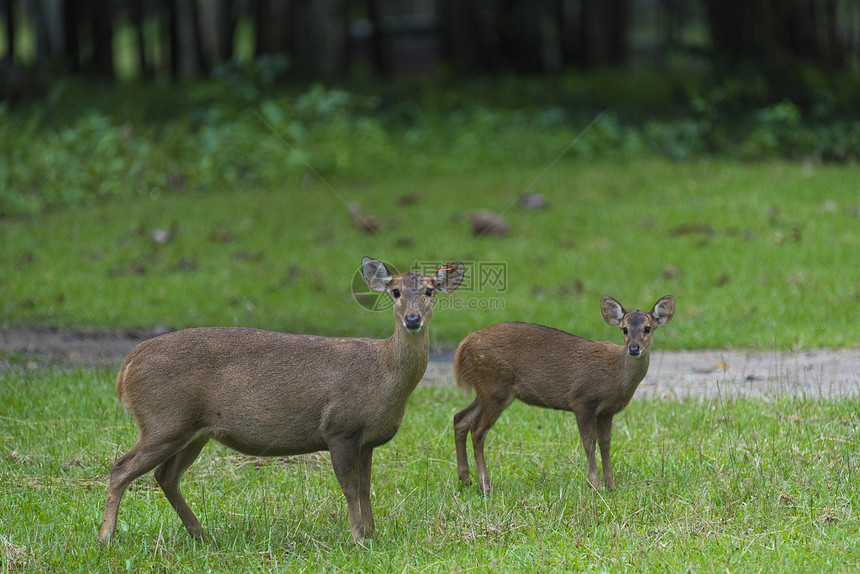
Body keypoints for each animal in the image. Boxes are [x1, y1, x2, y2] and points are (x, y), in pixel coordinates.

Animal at [100, 258, 464, 548]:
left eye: (430, 291)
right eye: (396, 292)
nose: (413, 320)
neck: (384, 371)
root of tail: (126, 366)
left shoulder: (367, 440)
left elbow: (365, 487)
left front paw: (372, 534)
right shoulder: (340, 427)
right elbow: (349, 487)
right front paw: (358, 537)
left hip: (194, 430)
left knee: (165, 476)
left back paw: (202, 535)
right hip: (164, 420)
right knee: (121, 468)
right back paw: (106, 537)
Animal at [454, 296, 676, 496]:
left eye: (647, 328)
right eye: (625, 329)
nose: (634, 349)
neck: (615, 376)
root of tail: (464, 345)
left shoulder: (607, 411)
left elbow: (605, 444)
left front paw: (611, 486)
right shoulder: (583, 400)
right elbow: (589, 443)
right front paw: (595, 486)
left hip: (486, 390)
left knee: (460, 418)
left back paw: (466, 479)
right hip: (495, 386)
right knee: (477, 430)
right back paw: (485, 486)